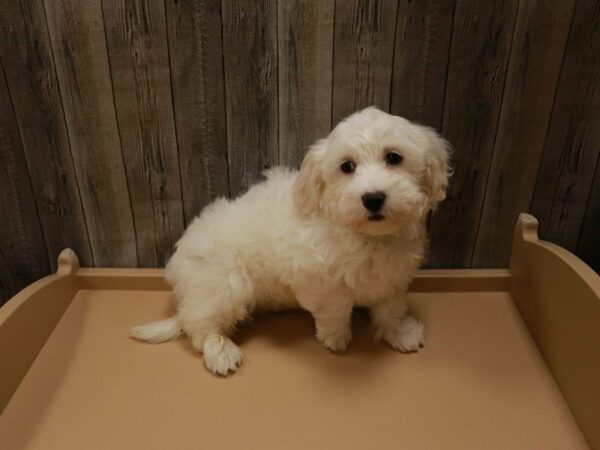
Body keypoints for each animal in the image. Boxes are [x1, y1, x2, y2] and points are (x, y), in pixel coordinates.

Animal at [132, 107, 450, 374]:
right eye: (347, 166)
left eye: (394, 157)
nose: (373, 198)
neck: (367, 236)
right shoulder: (317, 278)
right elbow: (335, 308)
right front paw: (336, 337)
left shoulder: (393, 276)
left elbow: (390, 308)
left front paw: (400, 333)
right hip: (223, 284)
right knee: (200, 327)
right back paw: (220, 352)